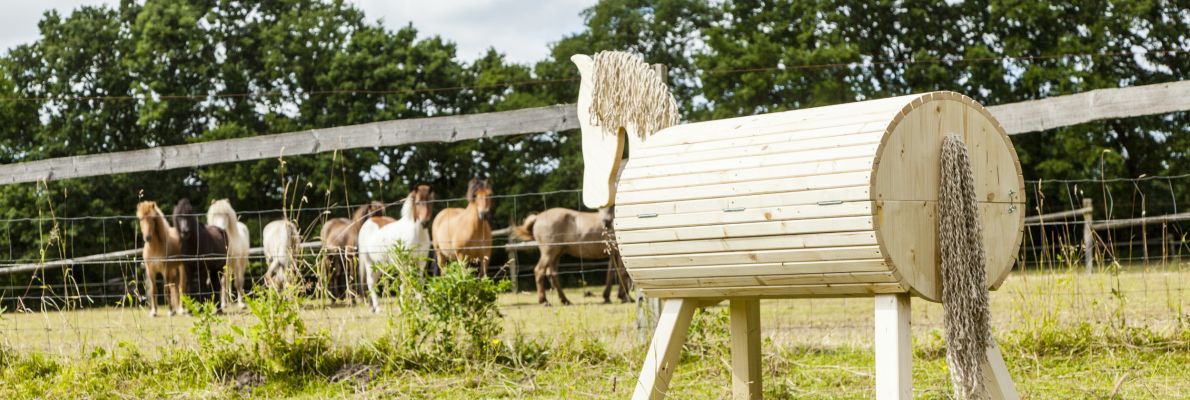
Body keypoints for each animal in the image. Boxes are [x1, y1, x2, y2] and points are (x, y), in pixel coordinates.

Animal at [358, 185, 434, 313]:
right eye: (418, 202)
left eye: (430, 201)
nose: (425, 222)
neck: (416, 234)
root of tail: (371, 219)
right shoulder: (403, 264)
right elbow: (404, 283)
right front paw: (403, 306)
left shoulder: (421, 263)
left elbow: (418, 282)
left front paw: (420, 305)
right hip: (369, 262)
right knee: (371, 283)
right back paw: (377, 308)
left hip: (380, 265)